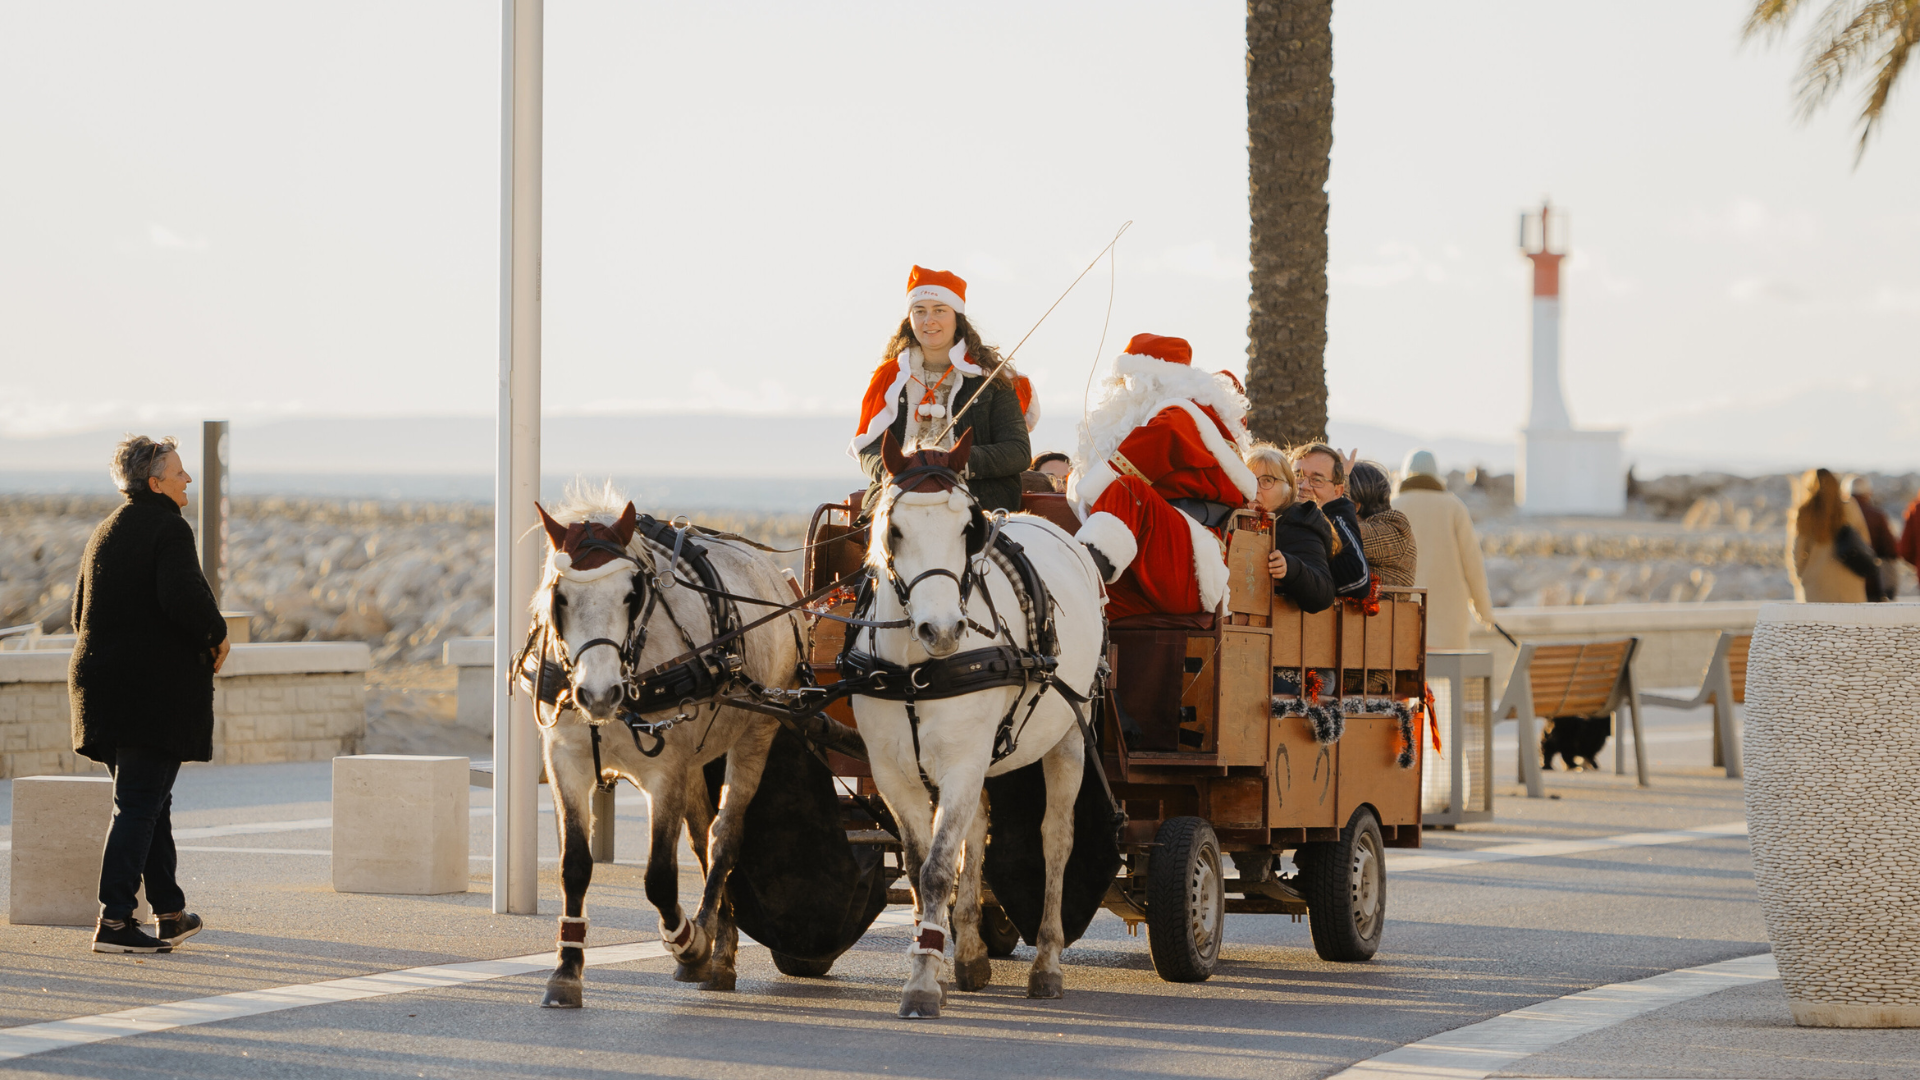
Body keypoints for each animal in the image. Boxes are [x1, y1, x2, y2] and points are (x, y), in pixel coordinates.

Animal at [526, 484, 802, 1006]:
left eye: (631, 594)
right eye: (560, 595)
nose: (598, 694)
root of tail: (775, 576)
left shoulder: (664, 773)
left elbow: (658, 876)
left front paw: (689, 943)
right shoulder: (565, 762)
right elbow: (575, 865)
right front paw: (567, 968)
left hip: (756, 733)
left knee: (724, 838)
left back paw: (710, 945)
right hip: (695, 761)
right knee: (702, 838)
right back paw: (722, 947)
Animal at [856, 424, 1113, 1014]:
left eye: (967, 530)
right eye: (893, 529)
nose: (942, 629)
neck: (917, 668)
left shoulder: (961, 763)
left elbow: (936, 869)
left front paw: (922, 982)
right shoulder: (893, 773)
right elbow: (924, 864)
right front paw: (935, 957)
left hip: (1069, 736)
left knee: (1056, 839)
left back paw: (1047, 963)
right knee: (976, 832)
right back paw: (971, 952)